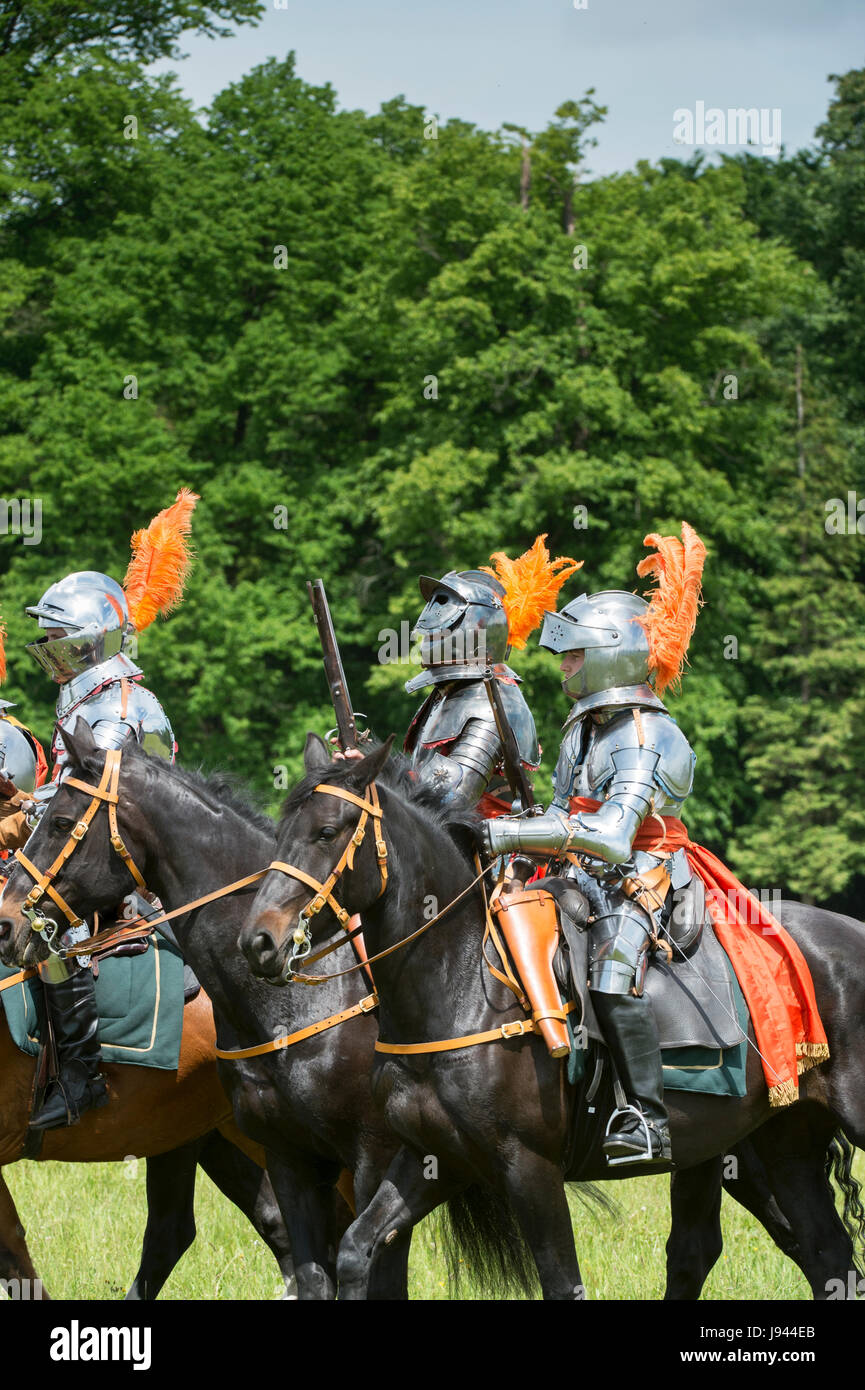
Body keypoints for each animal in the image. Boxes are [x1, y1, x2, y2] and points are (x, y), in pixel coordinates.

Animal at [240, 745, 865, 1295]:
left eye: (327, 832)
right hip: (783, 1142)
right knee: (824, 1255)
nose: (258, 943)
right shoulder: (430, 1157)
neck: (461, 980)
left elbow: (562, 1283)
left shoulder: (529, 1169)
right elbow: (356, 1250)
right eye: (281, 833)